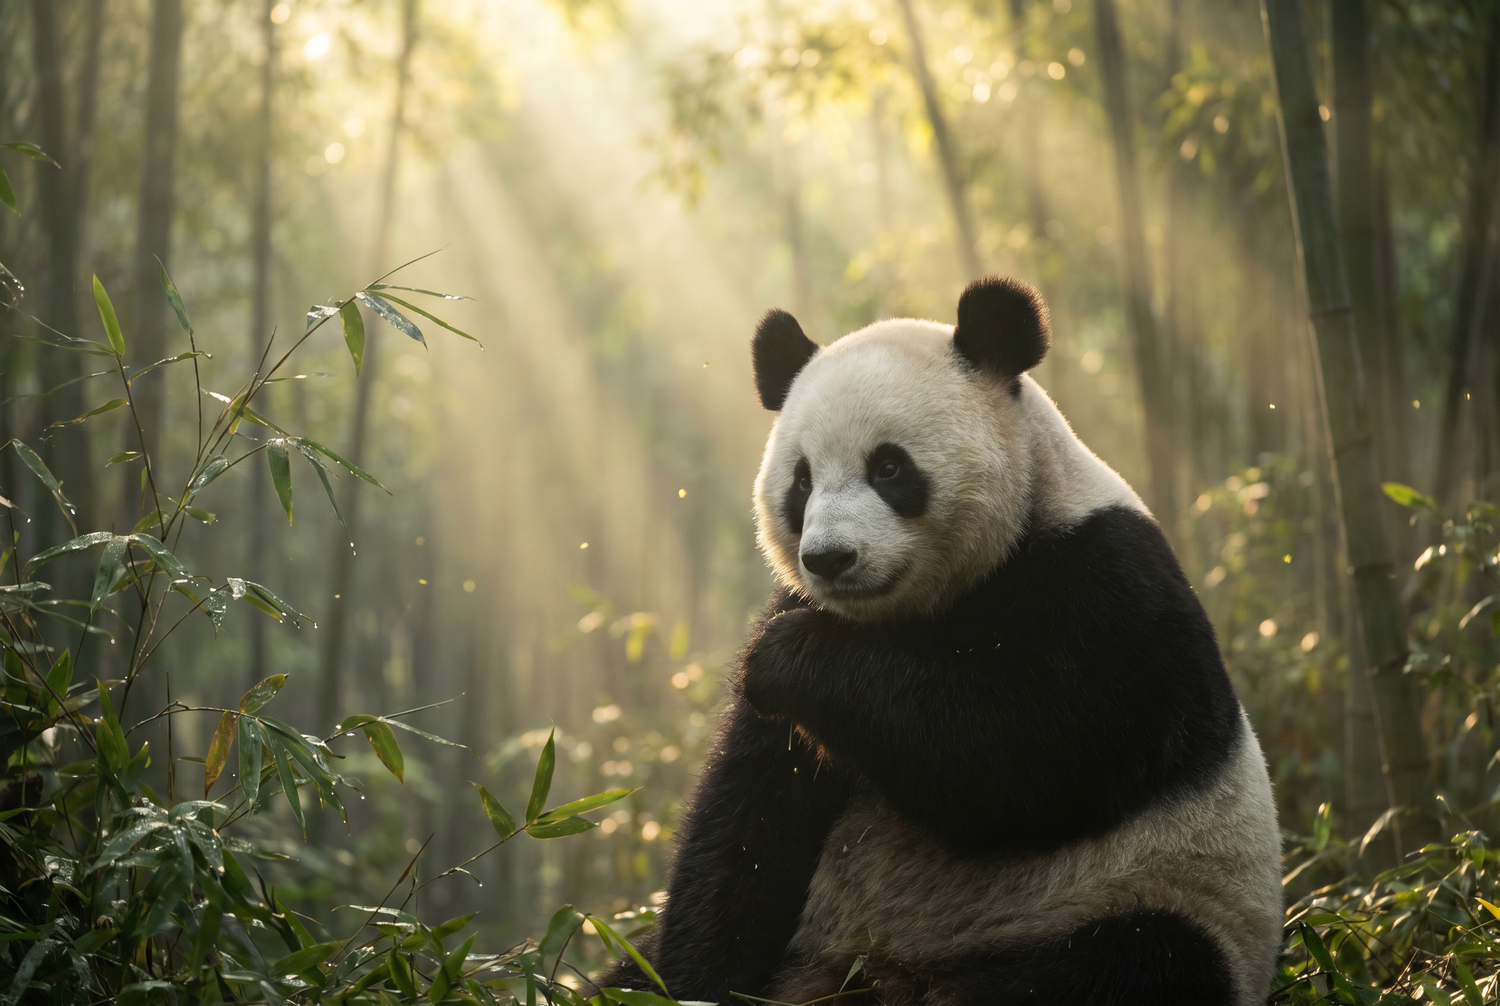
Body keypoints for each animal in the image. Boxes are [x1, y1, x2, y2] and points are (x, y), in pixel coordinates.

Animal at [603, 276, 1283, 1006]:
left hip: (1137, 904)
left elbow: (1014, 753)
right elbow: (747, 823)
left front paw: (788, 657)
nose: (830, 559)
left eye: (889, 467)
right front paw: (687, 982)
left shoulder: (1109, 590)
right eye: (802, 480)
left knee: (1126, 965)